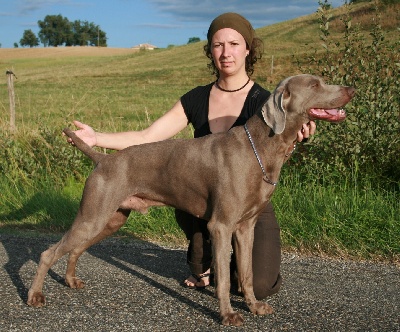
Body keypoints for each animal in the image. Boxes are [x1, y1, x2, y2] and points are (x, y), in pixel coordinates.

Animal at [26, 74, 354, 326]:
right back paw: (35, 296)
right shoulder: (221, 225)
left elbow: (247, 273)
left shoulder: (245, 227)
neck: (262, 148)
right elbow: (225, 279)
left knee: (75, 248)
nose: (351, 89)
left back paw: (70, 281)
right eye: (315, 84)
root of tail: (103, 160)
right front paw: (228, 315)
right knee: (48, 252)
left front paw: (254, 306)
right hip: (94, 214)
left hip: (110, 219)